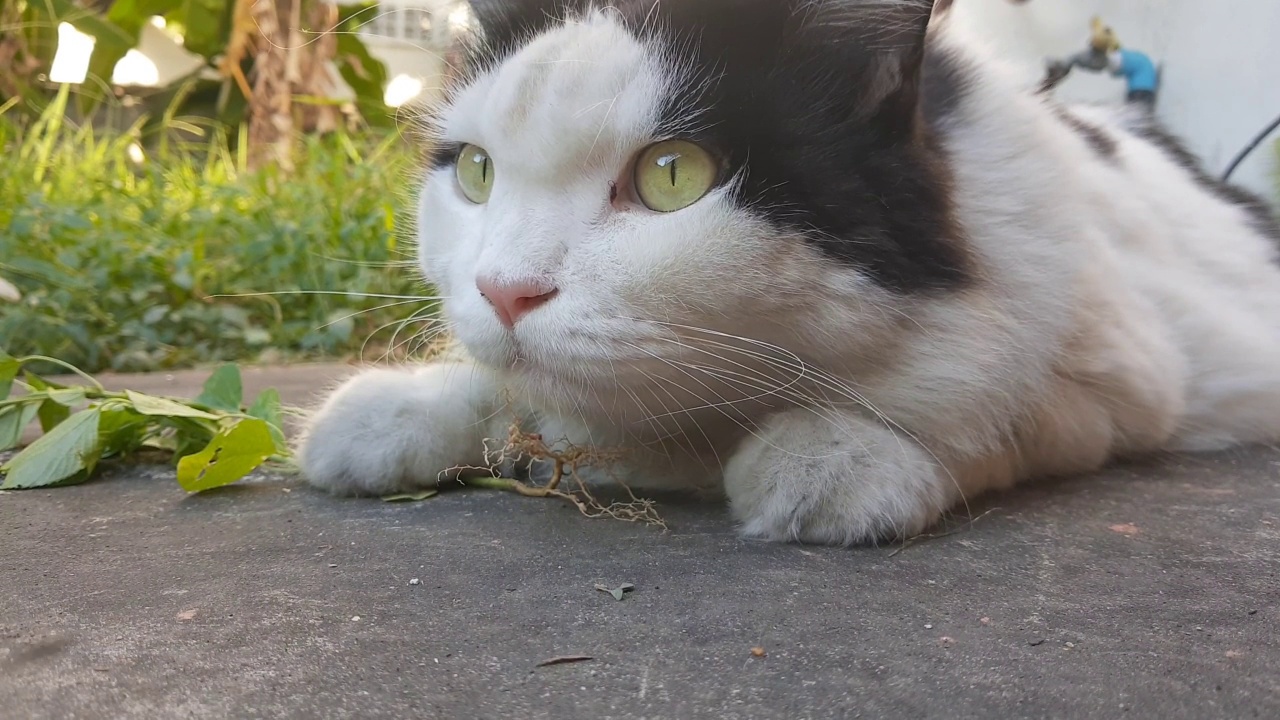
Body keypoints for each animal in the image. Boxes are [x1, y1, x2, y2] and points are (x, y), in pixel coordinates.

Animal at [294, 0, 1280, 543]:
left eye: (672, 175)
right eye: (475, 172)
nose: (504, 291)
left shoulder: (1126, 368)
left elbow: (997, 406)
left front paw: (835, 458)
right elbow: (502, 387)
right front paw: (392, 412)